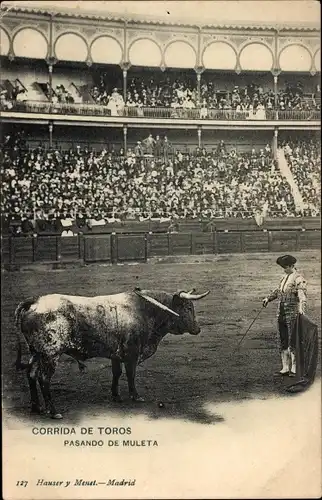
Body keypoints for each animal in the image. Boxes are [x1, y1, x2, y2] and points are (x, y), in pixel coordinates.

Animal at [15, 288, 209, 420]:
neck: (144, 311)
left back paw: (36, 408)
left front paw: (116, 396)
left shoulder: (117, 354)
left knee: (31, 374)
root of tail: (34, 302)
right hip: (50, 353)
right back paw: (54, 412)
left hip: (36, 352)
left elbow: (117, 373)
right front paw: (135, 396)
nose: (198, 329)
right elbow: (130, 374)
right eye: (188, 307)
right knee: (43, 379)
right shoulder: (132, 353)